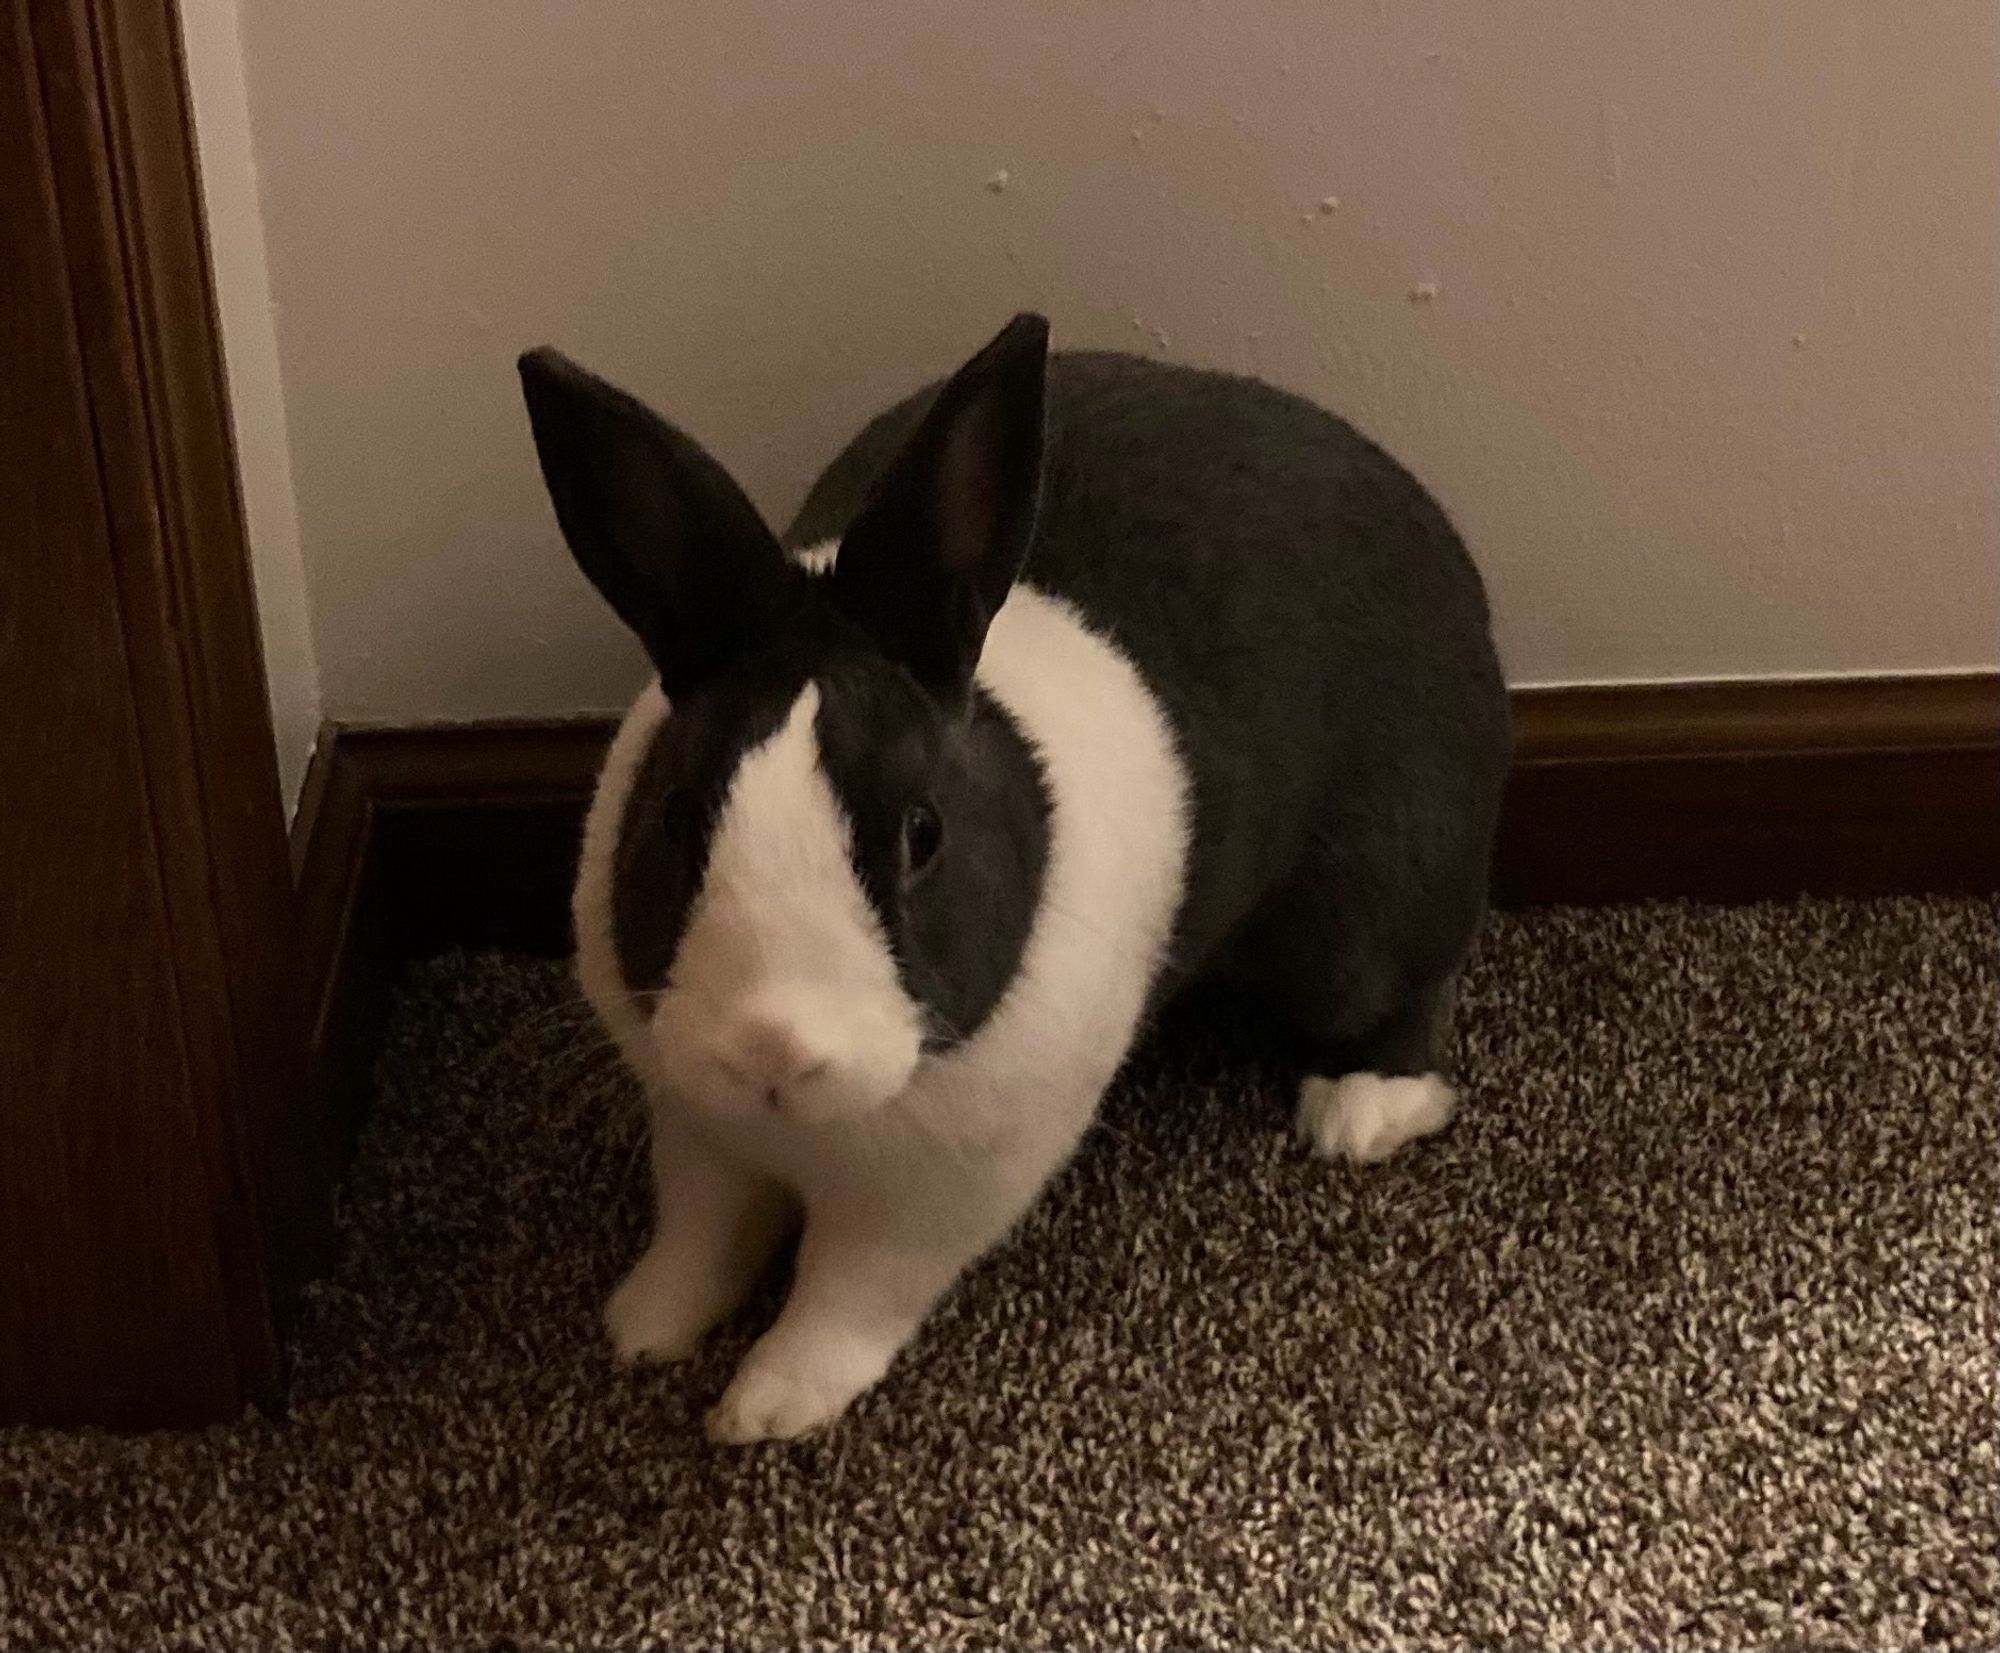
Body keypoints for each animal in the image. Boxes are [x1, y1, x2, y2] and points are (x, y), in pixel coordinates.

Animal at [516, 316, 1504, 1432]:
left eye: (923, 834)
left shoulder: (934, 1200)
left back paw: (1358, 1110)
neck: (809, 1133)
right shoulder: (698, 1131)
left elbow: (844, 1296)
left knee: (1404, 984)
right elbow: (701, 1232)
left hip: (1373, 907)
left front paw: (766, 1406)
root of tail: (1431, 530)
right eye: (679, 819)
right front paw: (641, 1327)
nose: (771, 1048)